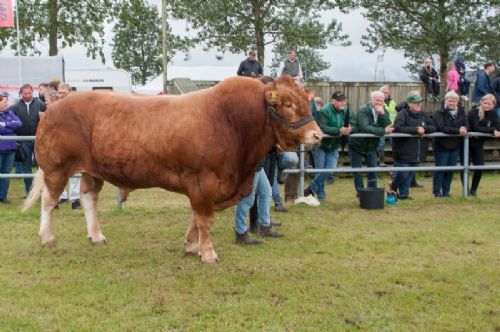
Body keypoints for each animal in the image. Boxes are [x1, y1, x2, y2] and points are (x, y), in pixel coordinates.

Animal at [24, 75, 320, 262]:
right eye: (288, 104)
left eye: (306, 102)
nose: (317, 135)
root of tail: (52, 108)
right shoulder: (204, 180)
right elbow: (204, 218)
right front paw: (208, 253)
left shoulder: (207, 186)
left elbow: (197, 217)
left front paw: (191, 245)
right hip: (57, 168)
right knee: (49, 201)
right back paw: (47, 237)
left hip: (92, 170)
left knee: (88, 197)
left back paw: (96, 235)